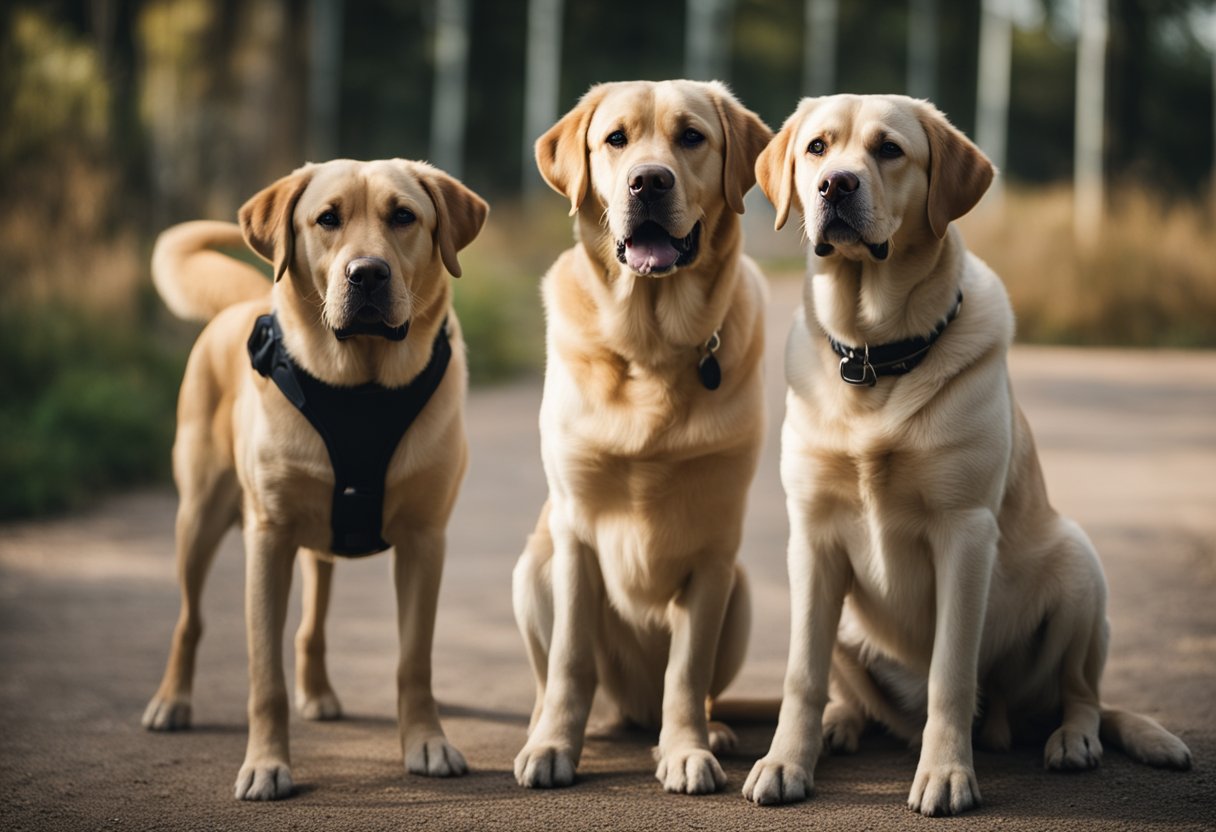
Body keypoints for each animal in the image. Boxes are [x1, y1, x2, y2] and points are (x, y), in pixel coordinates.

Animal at [139, 158, 486, 797]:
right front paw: (265, 764)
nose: (367, 274)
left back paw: (320, 693)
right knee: (188, 618)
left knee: (313, 621)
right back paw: (171, 701)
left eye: (404, 216)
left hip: (320, 540)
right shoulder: (268, 538)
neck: (362, 384)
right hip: (198, 517)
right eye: (327, 219)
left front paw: (427, 742)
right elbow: (264, 677)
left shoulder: (426, 540)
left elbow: (414, 661)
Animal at [510, 81, 768, 797]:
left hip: (741, 591)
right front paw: (553, 748)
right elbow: (570, 661)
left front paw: (685, 751)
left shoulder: (715, 550)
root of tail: (631, 707)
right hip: (532, 569)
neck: (650, 349)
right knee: (556, 678)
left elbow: (687, 669)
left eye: (691, 137)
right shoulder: (574, 538)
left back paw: (710, 728)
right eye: (616, 139)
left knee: (690, 689)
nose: (648, 182)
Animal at [739, 94, 1186, 817]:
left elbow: (950, 673)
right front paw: (785, 763)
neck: (875, 355)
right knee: (853, 697)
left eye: (889, 150)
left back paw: (1073, 740)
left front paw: (946, 774)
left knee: (1081, 694)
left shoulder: (965, 532)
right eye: (816, 148)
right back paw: (840, 724)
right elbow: (800, 675)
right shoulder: (812, 537)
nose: (836, 185)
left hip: (1079, 568)